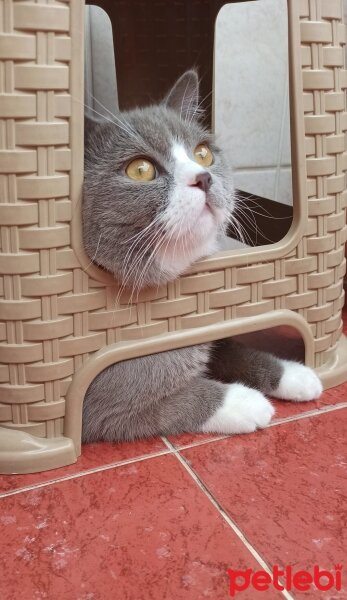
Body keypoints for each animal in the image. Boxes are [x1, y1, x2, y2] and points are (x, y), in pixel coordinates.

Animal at [82, 71, 324, 446]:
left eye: (204, 153)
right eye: (140, 169)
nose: (204, 177)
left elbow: (234, 350)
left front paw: (296, 375)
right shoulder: (100, 404)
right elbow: (168, 403)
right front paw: (247, 402)